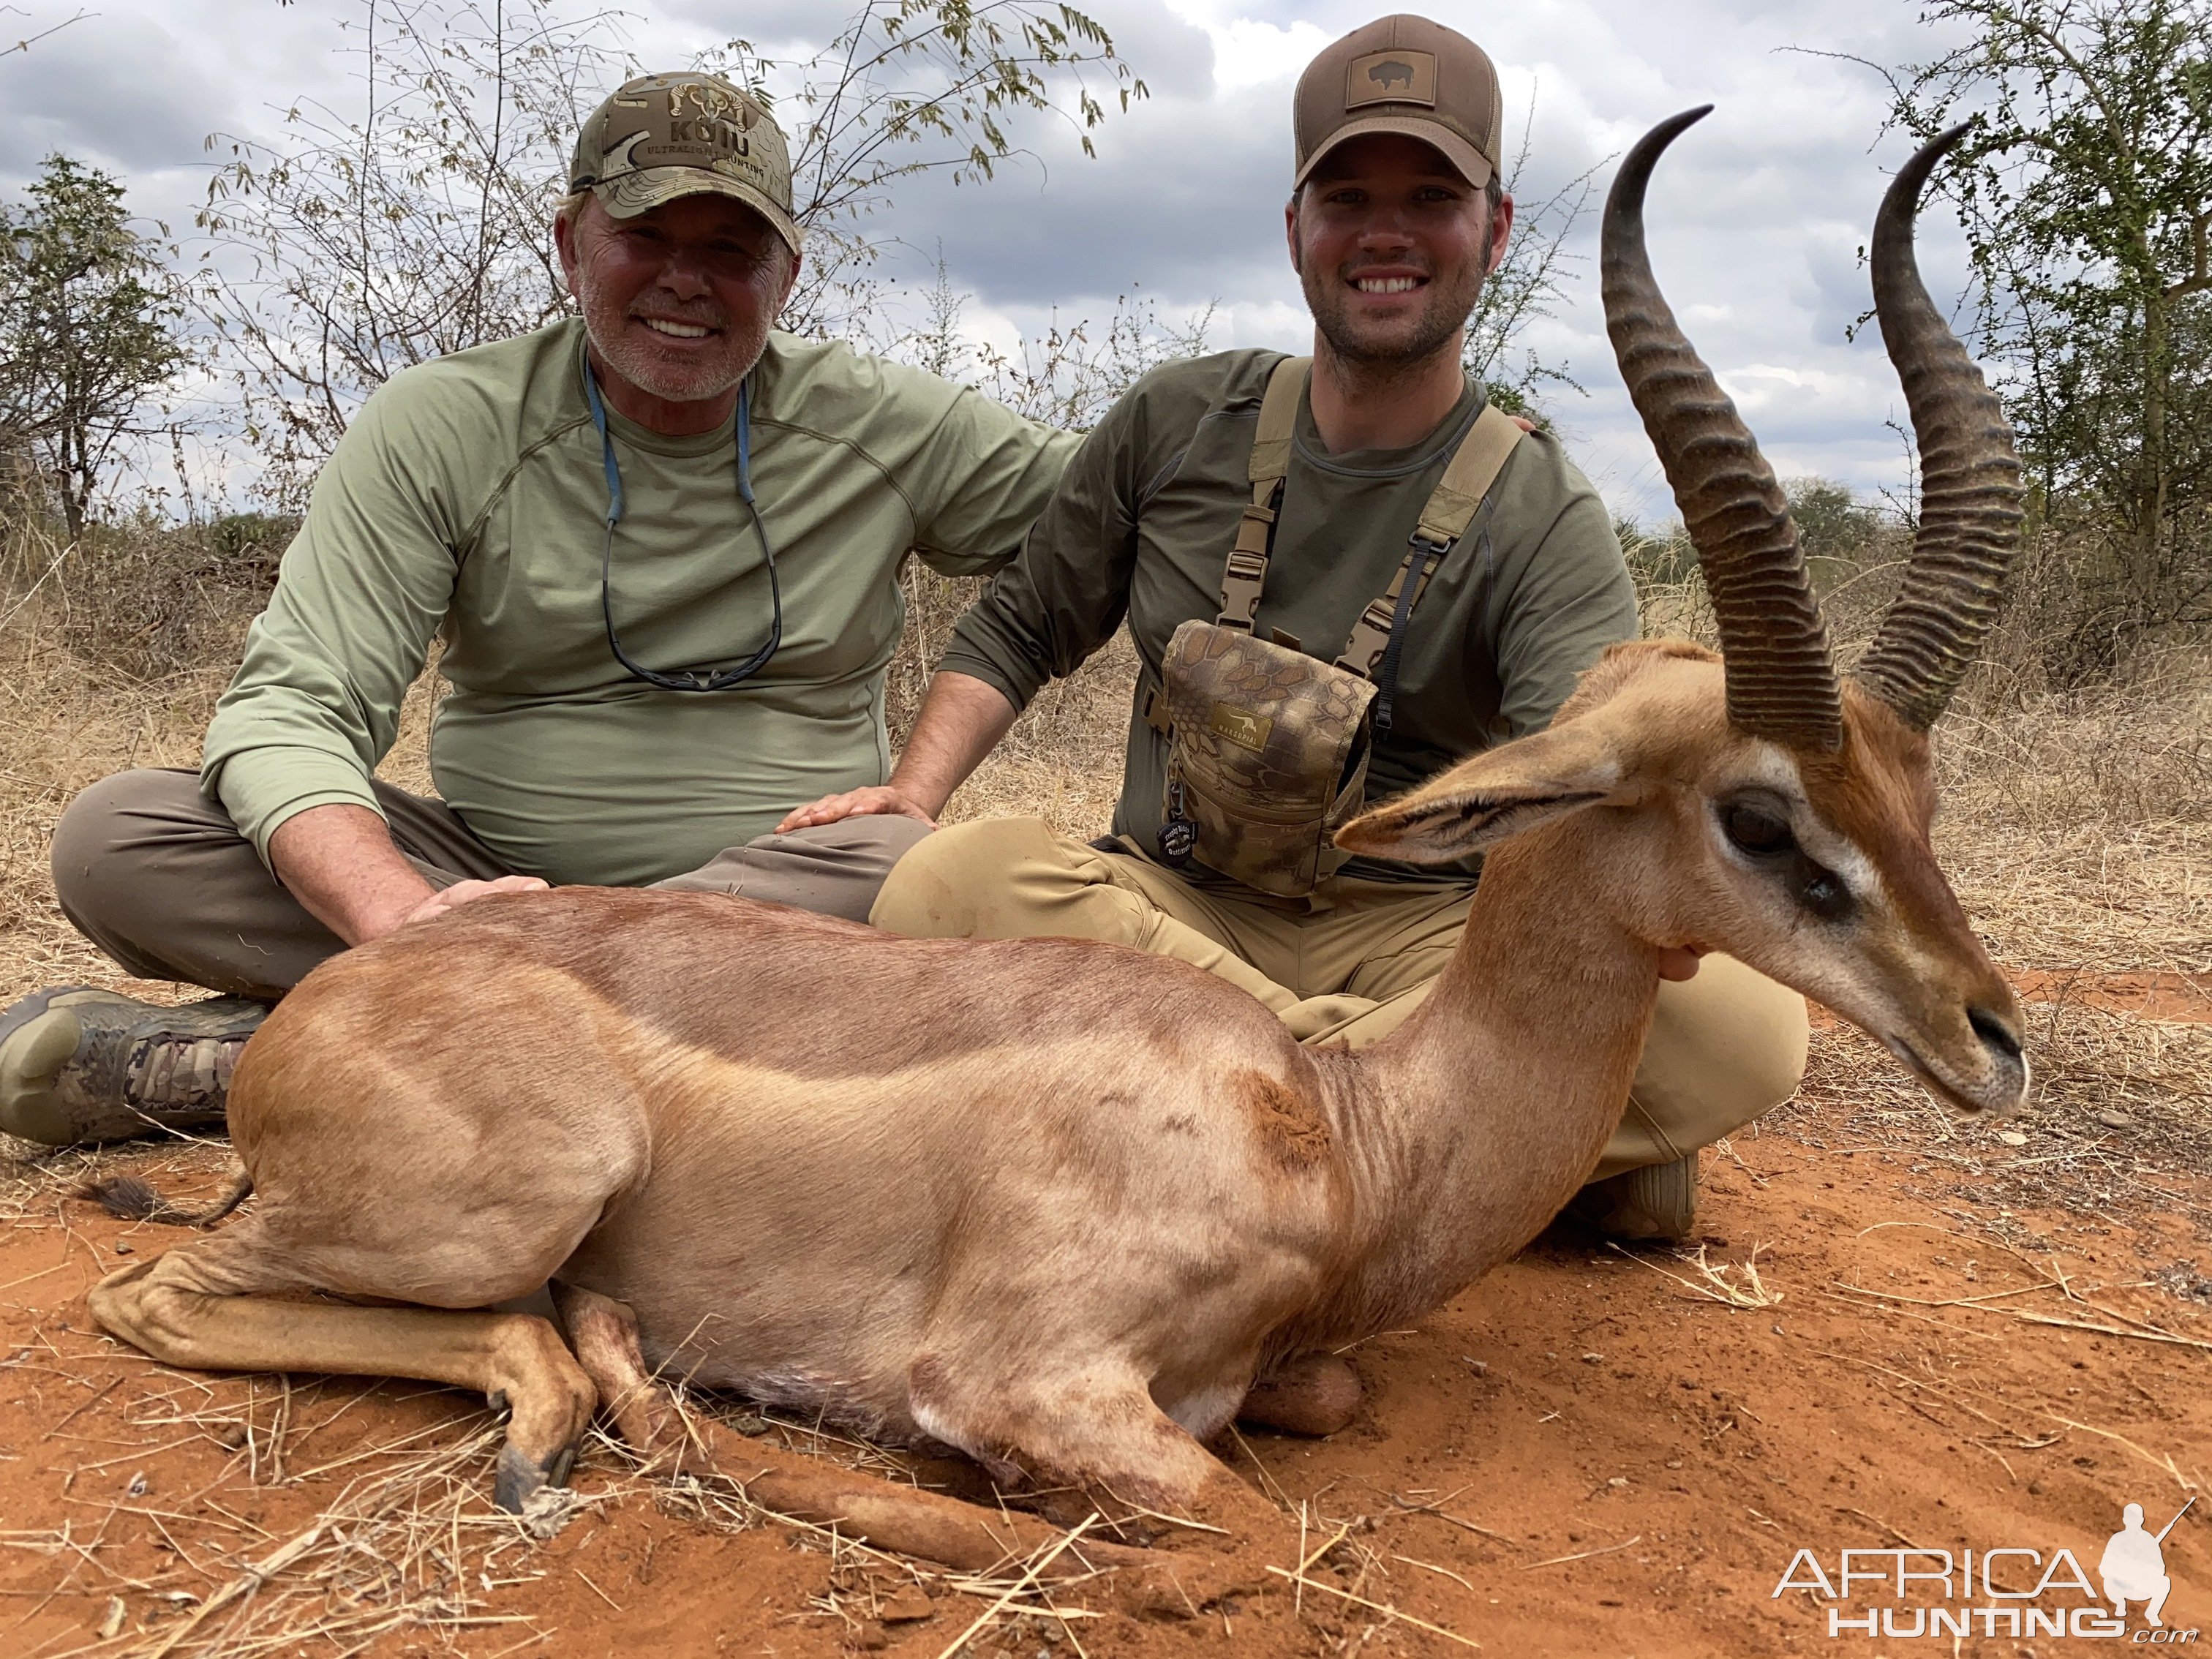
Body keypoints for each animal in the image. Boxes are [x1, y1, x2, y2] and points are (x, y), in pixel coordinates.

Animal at [81, 110, 2025, 1601]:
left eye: (1920, 794)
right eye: (1760, 811)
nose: (1992, 1040)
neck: (1342, 1138)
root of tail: (328, 1006)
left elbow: (1306, 1431)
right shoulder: (1024, 1385)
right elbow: (1230, 1549)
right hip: (511, 1190)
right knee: (154, 1294)